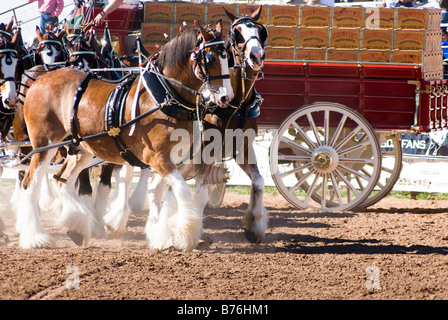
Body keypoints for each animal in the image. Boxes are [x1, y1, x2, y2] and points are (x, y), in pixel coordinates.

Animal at [15, 21, 233, 250]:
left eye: (227, 56)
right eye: (210, 58)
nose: (226, 97)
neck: (166, 98)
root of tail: (39, 80)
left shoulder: (178, 161)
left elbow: (159, 193)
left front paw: (161, 236)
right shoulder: (157, 158)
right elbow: (182, 191)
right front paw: (186, 235)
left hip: (81, 149)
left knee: (62, 180)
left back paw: (76, 227)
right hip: (43, 146)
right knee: (30, 183)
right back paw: (35, 237)